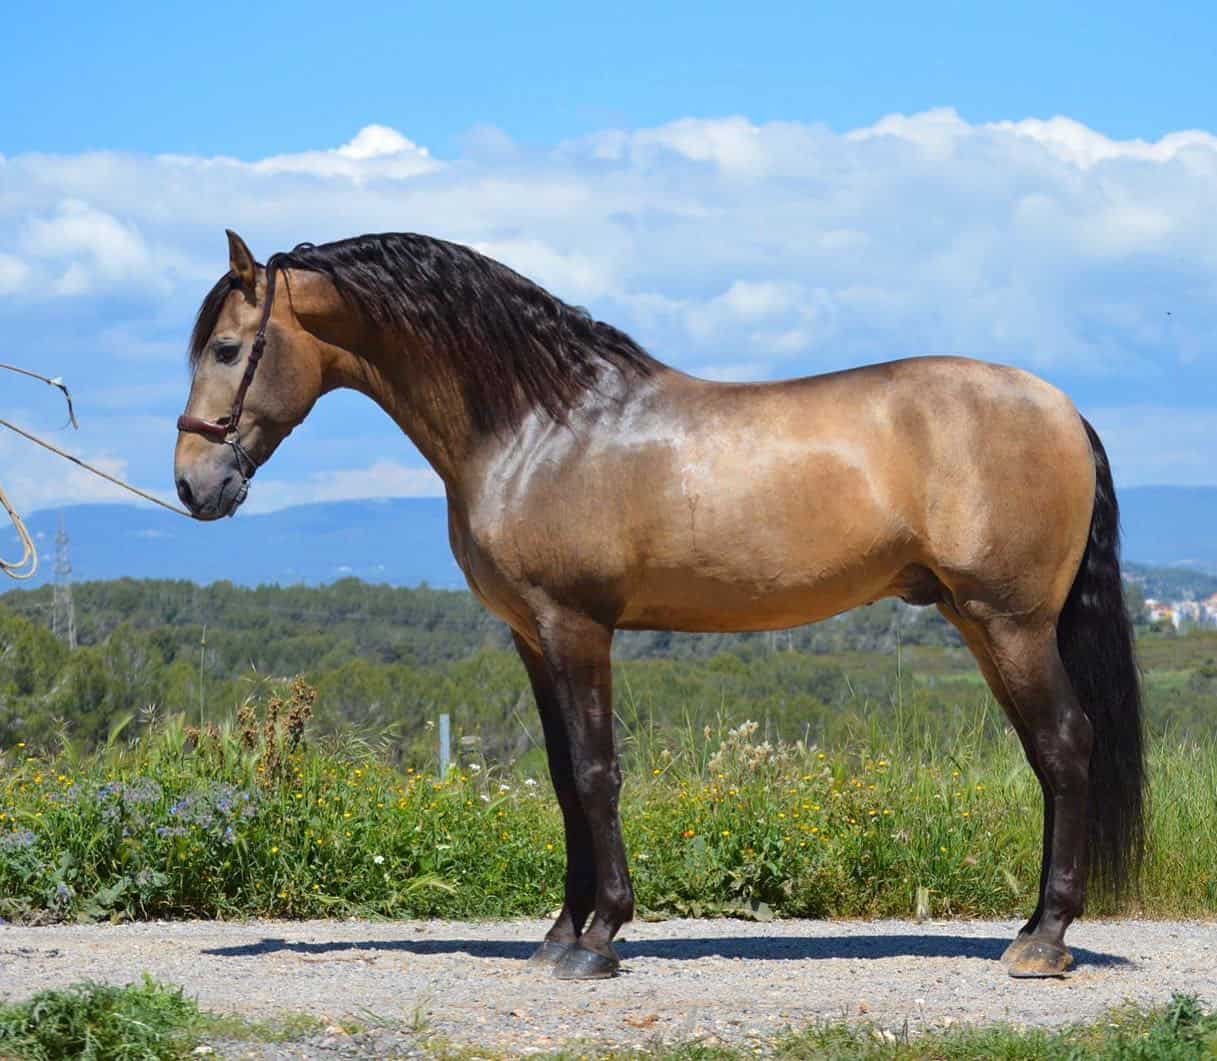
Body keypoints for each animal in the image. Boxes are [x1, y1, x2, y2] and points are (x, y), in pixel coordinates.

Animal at [174, 230, 1144, 981]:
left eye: (226, 349)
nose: (192, 485)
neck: (538, 425)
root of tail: (1060, 407)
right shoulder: (532, 638)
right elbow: (563, 778)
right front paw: (559, 932)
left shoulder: (577, 627)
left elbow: (596, 773)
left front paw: (598, 937)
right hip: (980, 622)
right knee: (1048, 756)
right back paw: (1032, 928)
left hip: (1009, 623)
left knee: (1065, 746)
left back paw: (1043, 942)